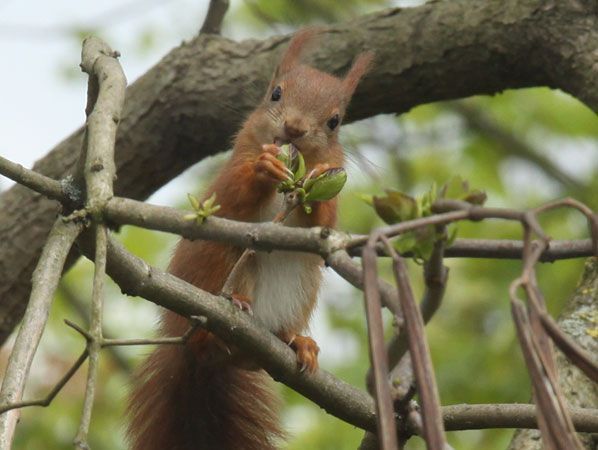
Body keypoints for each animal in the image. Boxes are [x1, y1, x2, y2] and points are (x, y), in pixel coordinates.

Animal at [127, 29, 376, 448]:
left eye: (335, 121)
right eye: (275, 94)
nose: (294, 128)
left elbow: (323, 218)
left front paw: (318, 181)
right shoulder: (229, 175)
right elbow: (234, 195)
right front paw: (264, 167)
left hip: (301, 288)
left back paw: (295, 341)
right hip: (224, 264)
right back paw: (233, 311)